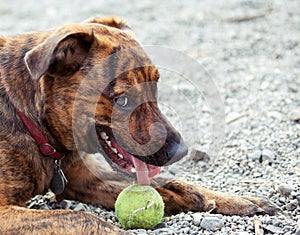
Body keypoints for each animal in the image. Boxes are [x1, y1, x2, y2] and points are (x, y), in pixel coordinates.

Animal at [0, 17, 278, 234]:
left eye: (155, 87)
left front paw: (235, 199)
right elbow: (80, 217)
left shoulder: (83, 179)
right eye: (122, 100)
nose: (181, 152)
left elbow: (176, 184)